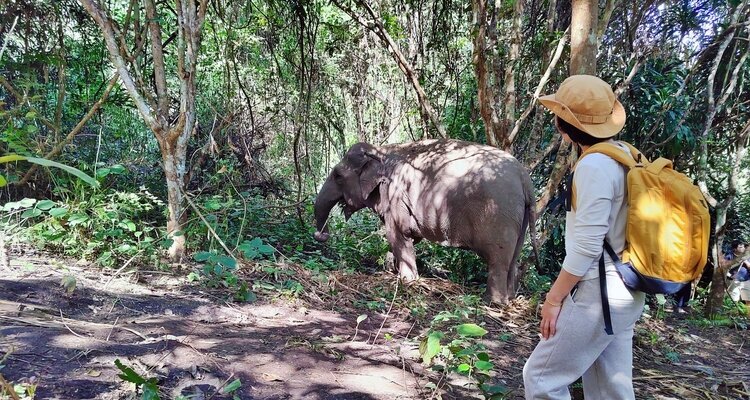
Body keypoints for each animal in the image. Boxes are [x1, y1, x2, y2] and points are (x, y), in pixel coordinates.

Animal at [313, 139, 537, 303]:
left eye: (337, 175)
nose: (320, 234)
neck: (381, 150)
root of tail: (525, 180)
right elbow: (412, 236)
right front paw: (391, 267)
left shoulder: (394, 194)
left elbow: (397, 234)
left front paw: (408, 281)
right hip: (520, 219)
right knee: (513, 259)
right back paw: (510, 298)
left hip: (500, 216)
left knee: (498, 260)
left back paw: (492, 302)